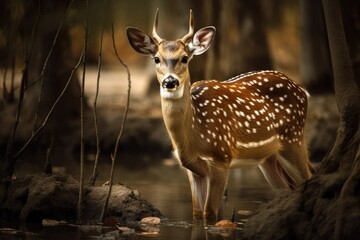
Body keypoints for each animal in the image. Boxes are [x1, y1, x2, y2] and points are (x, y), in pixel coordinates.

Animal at [126, 9, 312, 223]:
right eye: (156, 58)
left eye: (184, 58)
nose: (170, 82)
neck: (193, 136)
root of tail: (302, 90)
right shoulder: (192, 169)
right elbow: (197, 214)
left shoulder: (221, 157)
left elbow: (210, 214)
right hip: (269, 157)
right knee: (290, 186)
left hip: (294, 138)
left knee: (309, 175)